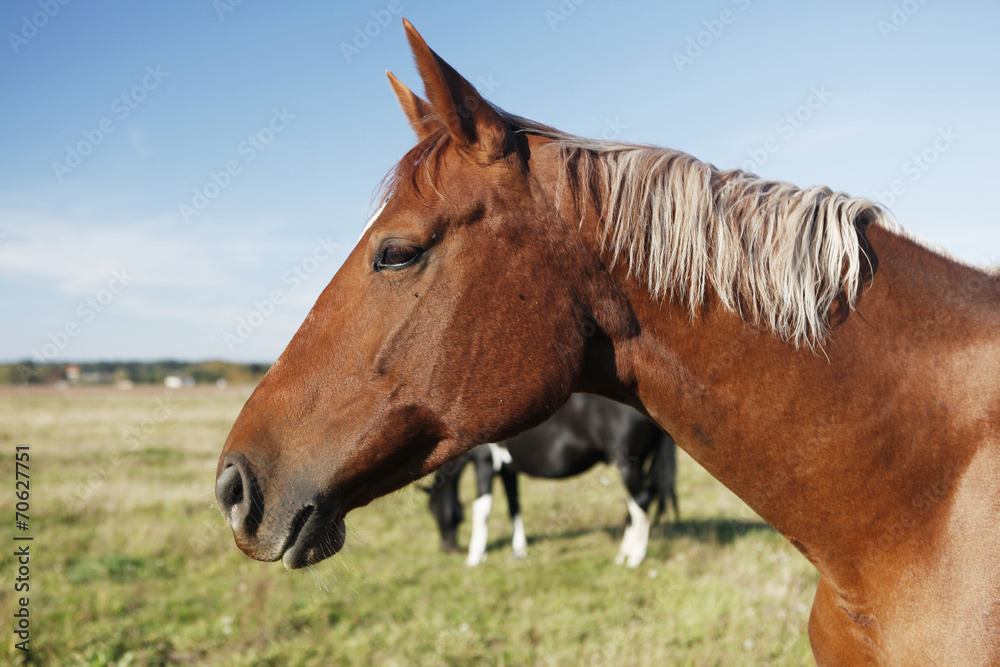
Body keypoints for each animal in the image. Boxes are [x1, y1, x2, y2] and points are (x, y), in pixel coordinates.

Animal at [426, 392, 677, 567]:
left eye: (434, 509)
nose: (447, 548)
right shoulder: (509, 470)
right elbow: (514, 506)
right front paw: (519, 551)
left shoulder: (485, 464)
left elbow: (481, 509)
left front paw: (474, 556)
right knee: (637, 502)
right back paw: (625, 551)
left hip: (628, 466)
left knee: (641, 500)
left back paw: (636, 556)